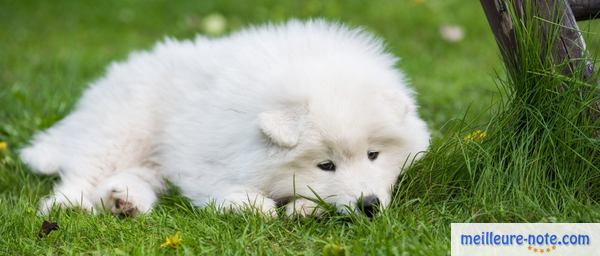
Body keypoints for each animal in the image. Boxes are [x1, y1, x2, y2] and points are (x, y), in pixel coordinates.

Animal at [19, 20, 432, 217]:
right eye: (325, 164)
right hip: (122, 128)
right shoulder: (201, 156)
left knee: (135, 174)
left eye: (374, 155)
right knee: (83, 171)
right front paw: (252, 206)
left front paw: (304, 208)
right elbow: (222, 186)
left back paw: (124, 201)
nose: (369, 205)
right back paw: (69, 205)